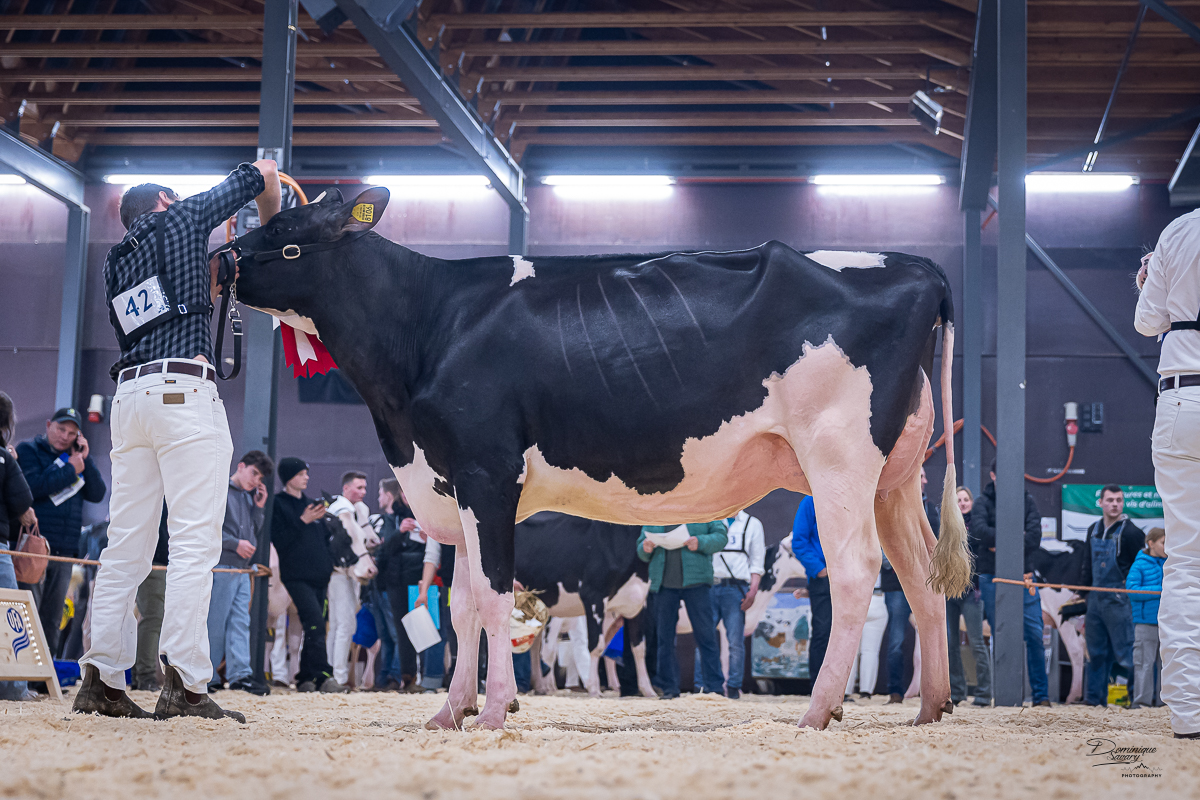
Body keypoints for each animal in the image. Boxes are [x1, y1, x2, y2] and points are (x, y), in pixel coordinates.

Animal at [513, 511, 657, 698]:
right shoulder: (593, 597)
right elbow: (596, 646)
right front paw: (594, 688)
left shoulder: (637, 603)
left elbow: (639, 648)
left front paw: (648, 690)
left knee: (535, 647)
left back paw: (541, 687)